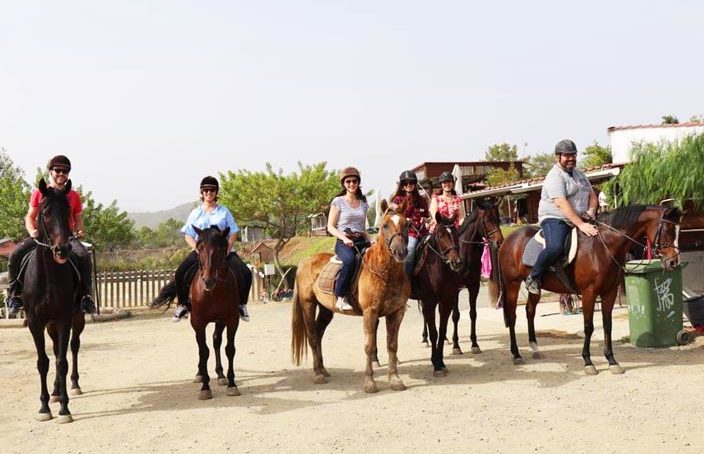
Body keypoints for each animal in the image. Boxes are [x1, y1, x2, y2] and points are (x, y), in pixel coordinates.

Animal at [22, 178, 83, 422]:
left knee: (73, 347)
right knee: (57, 347)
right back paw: (56, 392)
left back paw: (73, 386)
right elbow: (43, 362)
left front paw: (65, 408)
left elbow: (61, 361)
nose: (62, 249)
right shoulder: (36, 323)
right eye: (45, 212)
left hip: (77, 318)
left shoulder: (65, 318)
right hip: (50, 325)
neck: (47, 276)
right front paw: (44, 407)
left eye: (67, 210)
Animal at [188, 225, 241, 400]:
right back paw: (200, 374)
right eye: (199, 248)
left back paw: (221, 375)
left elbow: (229, 349)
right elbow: (203, 351)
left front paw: (232, 384)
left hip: (220, 321)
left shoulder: (232, 319)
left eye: (221, 249)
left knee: (216, 340)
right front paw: (205, 387)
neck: (213, 292)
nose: (208, 281)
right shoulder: (198, 322)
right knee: (202, 345)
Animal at [292, 200, 412, 392]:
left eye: (407, 224)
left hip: (326, 310)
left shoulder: (397, 312)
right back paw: (317, 374)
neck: (384, 273)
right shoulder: (370, 313)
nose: (400, 252)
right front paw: (369, 383)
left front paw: (395, 380)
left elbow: (392, 345)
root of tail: (305, 262)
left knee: (318, 334)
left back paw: (323, 369)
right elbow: (369, 346)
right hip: (308, 304)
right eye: (385, 225)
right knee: (312, 336)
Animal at [498, 204, 680, 374]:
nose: (673, 262)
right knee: (513, 317)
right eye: (669, 230)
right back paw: (516, 354)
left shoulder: (610, 293)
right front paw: (588, 362)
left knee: (530, 311)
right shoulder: (589, 293)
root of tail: (508, 239)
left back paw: (535, 348)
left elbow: (607, 325)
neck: (602, 246)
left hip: (536, 288)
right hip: (512, 285)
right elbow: (589, 326)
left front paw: (612, 361)